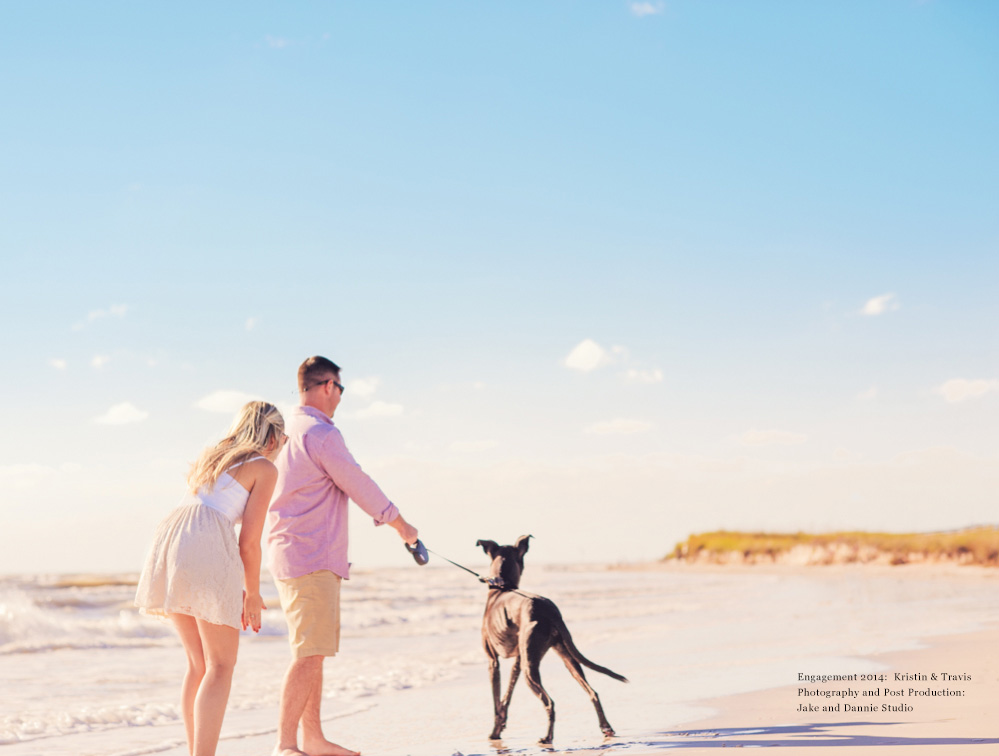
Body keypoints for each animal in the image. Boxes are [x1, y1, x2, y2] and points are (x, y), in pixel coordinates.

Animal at [474, 536, 624, 744]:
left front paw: (495, 732)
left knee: (549, 702)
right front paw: (500, 726)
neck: (501, 588)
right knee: (592, 692)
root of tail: (549, 610)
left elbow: (497, 700)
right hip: (565, 657)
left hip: (531, 669)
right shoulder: (518, 660)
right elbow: (506, 697)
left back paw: (547, 737)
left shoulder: (492, 661)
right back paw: (606, 727)